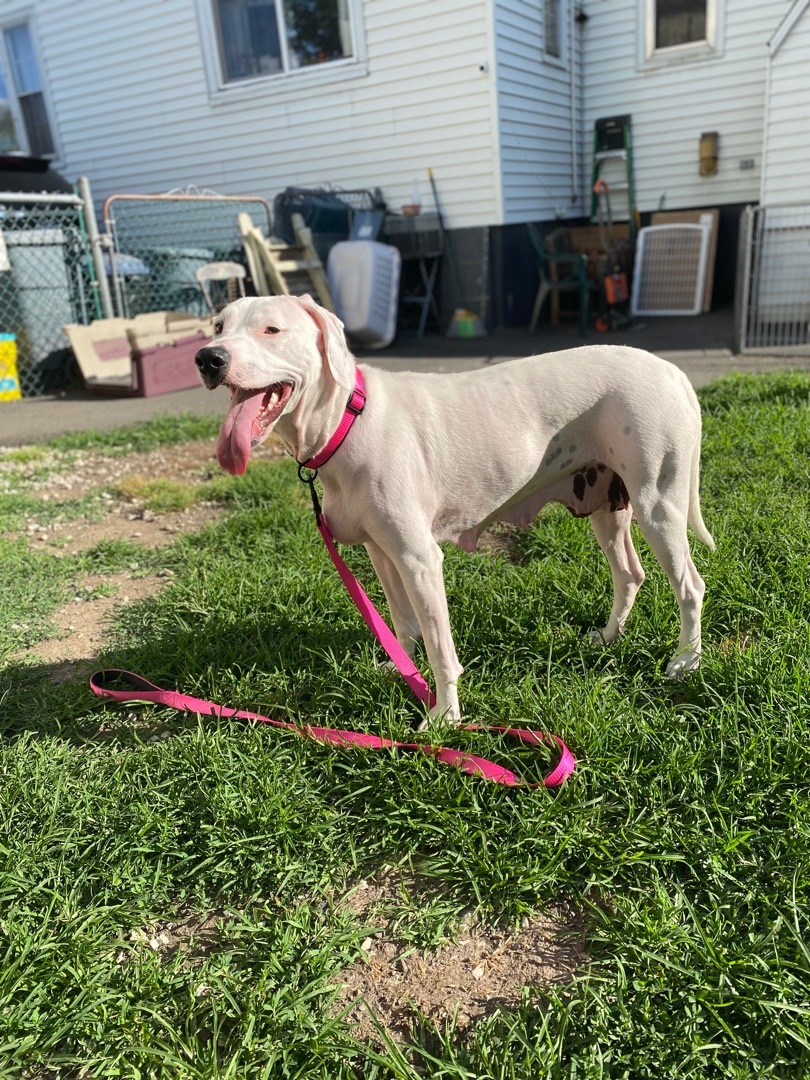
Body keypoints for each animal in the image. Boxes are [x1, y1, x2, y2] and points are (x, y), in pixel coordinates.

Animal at [198, 291, 717, 721]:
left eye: (272, 329)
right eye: (218, 326)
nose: (208, 358)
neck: (349, 418)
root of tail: (674, 372)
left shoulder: (419, 560)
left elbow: (440, 650)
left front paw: (444, 718)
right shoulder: (381, 553)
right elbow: (402, 623)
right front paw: (400, 669)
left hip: (658, 507)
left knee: (691, 586)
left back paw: (685, 662)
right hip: (608, 505)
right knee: (630, 574)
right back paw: (608, 638)